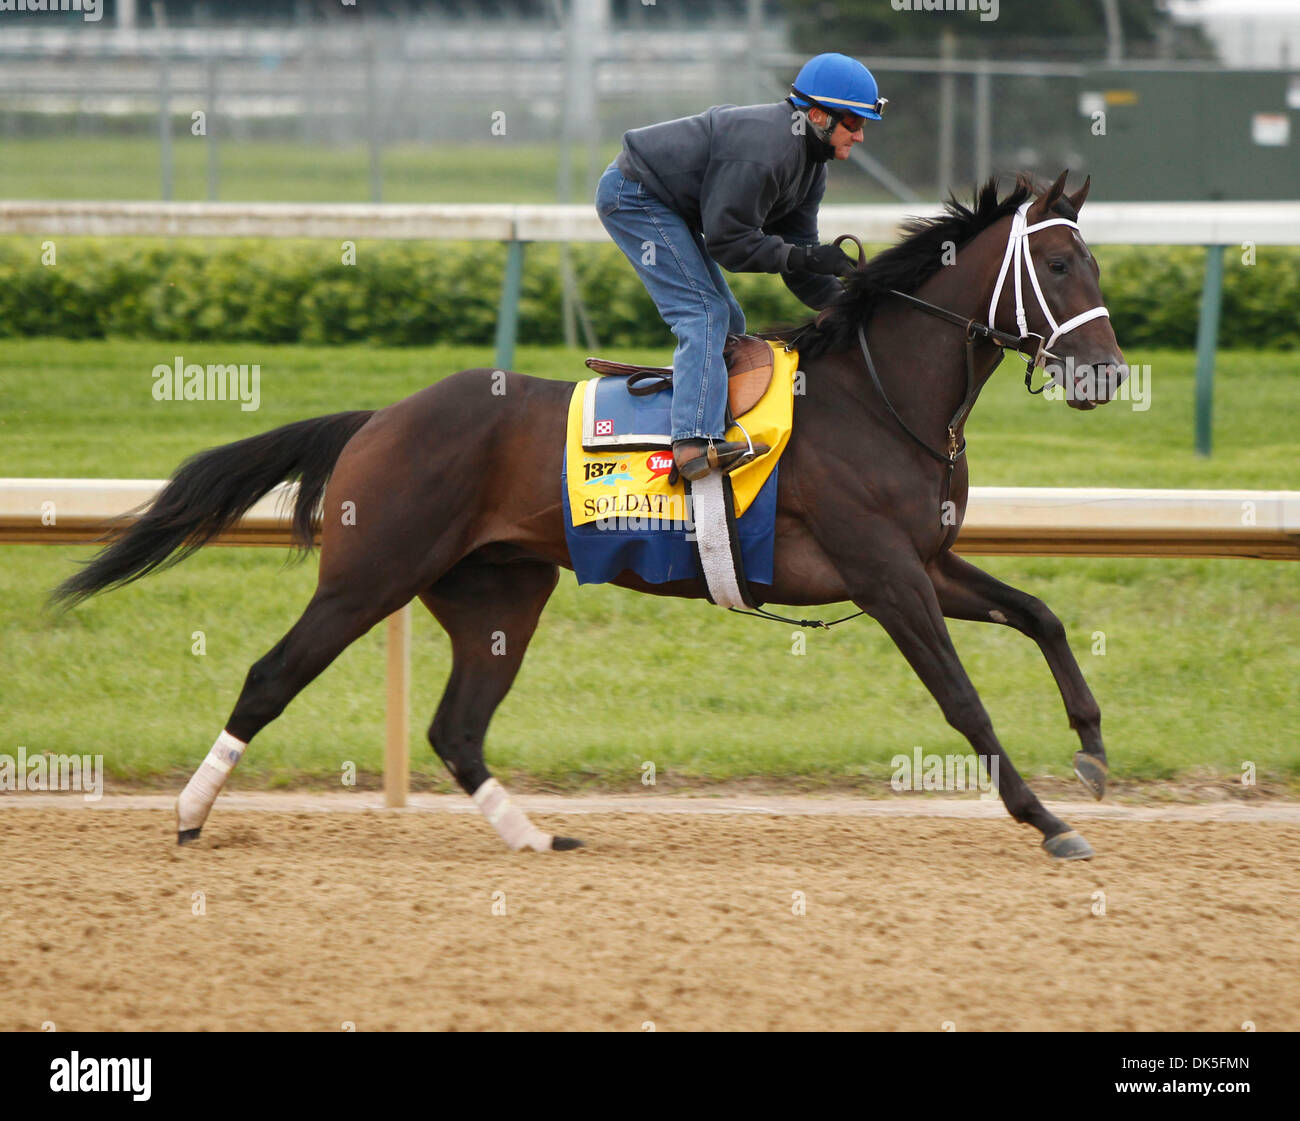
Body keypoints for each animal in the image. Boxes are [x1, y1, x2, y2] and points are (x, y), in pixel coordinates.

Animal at [55, 171, 1123, 863]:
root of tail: (380, 417)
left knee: (457, 727)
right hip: (370, 575)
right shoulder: (886, 572)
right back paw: (191, 814)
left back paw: (531, 834)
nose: (1108, 372)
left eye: (1096, 263)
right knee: (271, 677)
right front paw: (1046, 819)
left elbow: (1041, 616)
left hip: (498, 594)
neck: (878, 396)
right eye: (1057, 264)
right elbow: (962, 699)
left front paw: (1093, 748)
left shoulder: (927, 560)